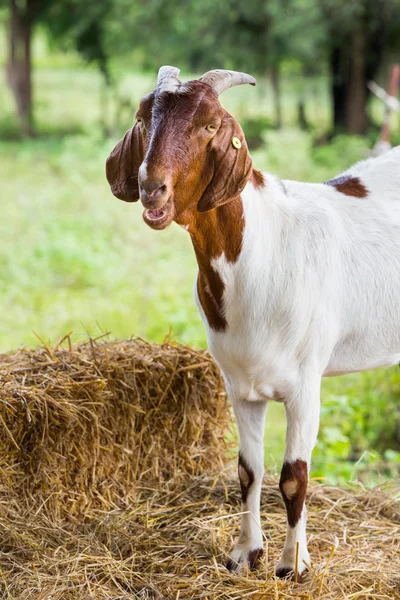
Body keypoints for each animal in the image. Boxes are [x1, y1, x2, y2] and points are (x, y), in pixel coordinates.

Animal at [105, 67, 400, 580]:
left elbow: (294, 477)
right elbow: (249, 471)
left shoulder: (305, 385)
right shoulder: (239, 385)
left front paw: (293, 564)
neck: (264, 250)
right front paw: (246, 553)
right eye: (143, 119)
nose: (151, 188)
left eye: (209, 126)